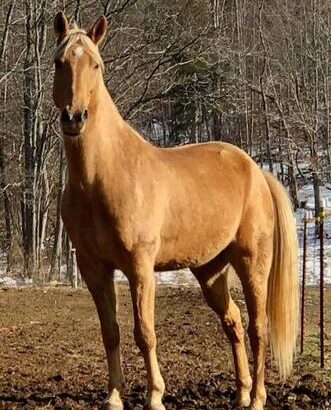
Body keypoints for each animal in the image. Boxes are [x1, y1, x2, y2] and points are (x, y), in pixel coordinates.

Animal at [52, 12, 300, 410]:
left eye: (96, 65)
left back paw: (258, 398)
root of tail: (256, 171)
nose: (75, 117)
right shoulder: (93, 268)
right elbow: (111, 331)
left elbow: (144, 332)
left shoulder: (140, 267)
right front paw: (114, 397)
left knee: (258, 326)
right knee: (232, 322)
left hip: (252, 262)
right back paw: (241, 394)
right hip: (210, 270)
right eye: (59, 62)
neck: (102, 175)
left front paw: (155, 396)